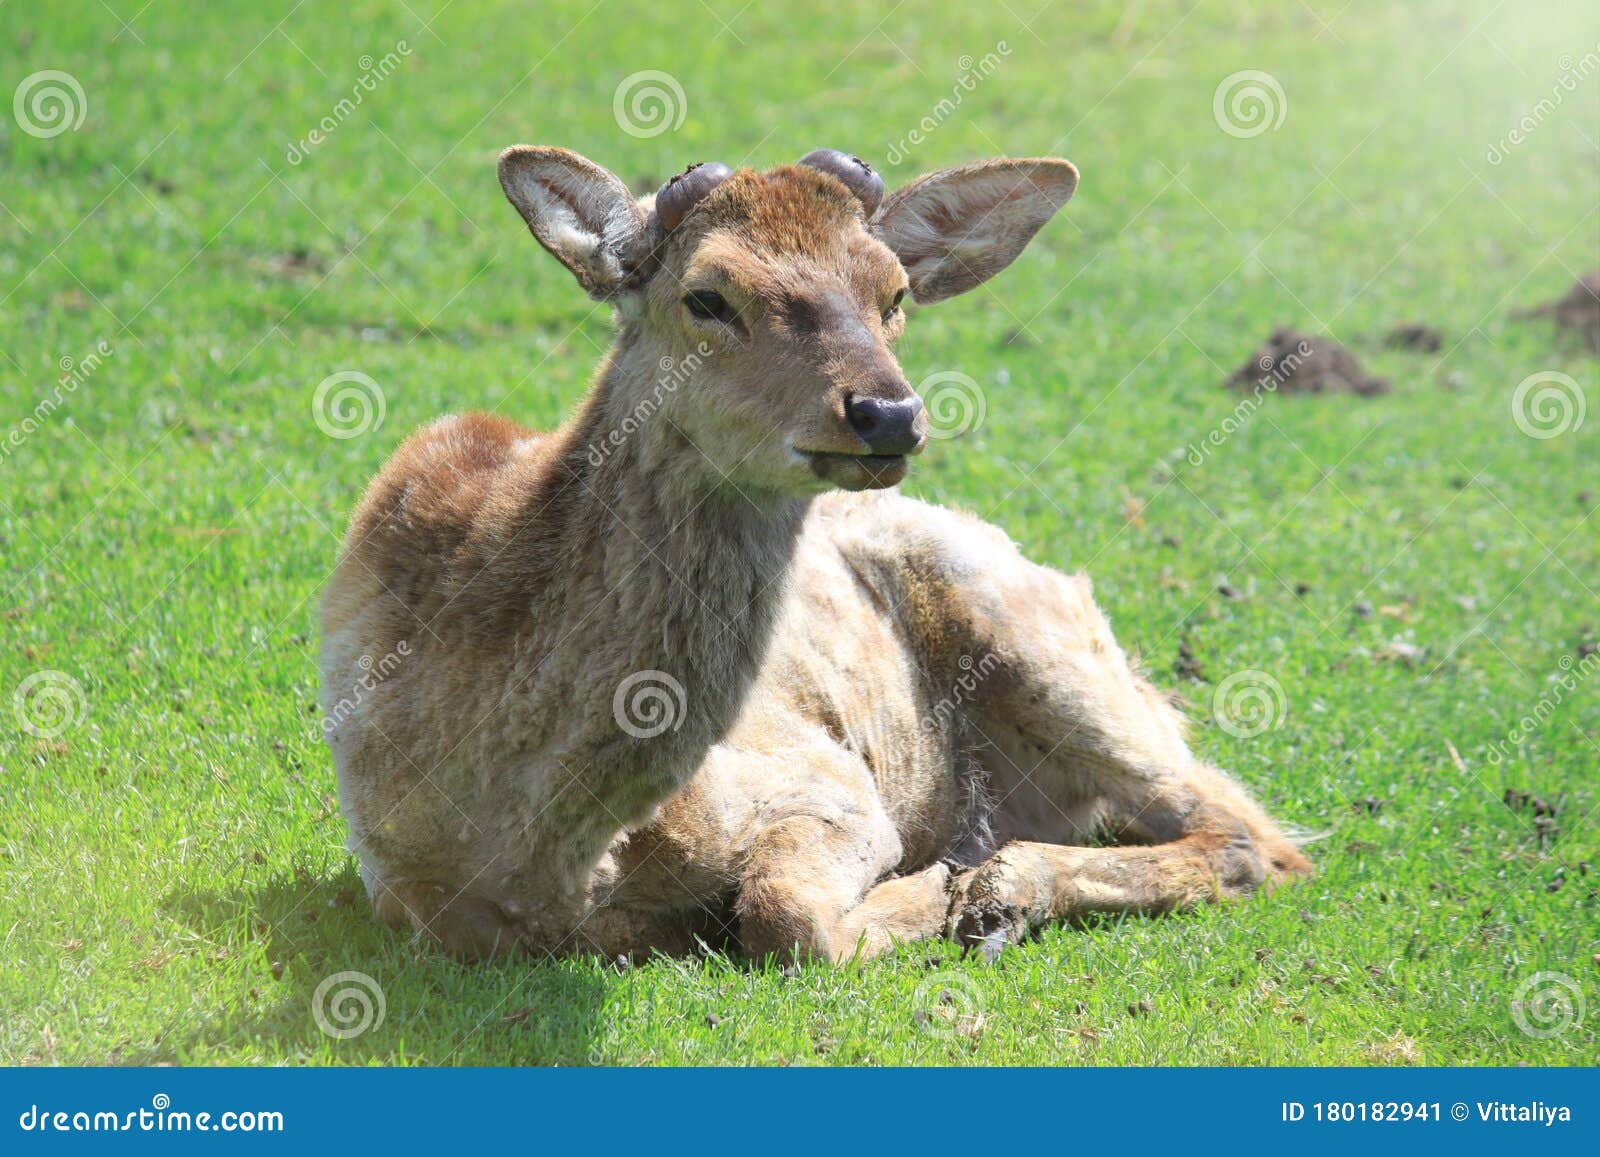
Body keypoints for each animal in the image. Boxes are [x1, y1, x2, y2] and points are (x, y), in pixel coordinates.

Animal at [319, 144, 1311, 965]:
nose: (888, 413)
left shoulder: (829, 783)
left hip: (1041, 640)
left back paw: (1003, 885)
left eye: (894, 293)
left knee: (1251, 832)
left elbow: (788, 913)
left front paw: (950, 884)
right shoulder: (401, 887)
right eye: (707, 295)